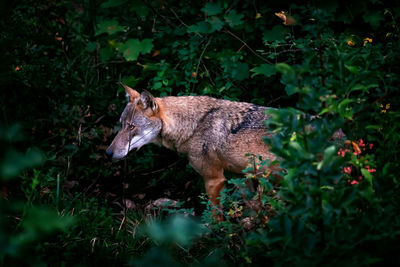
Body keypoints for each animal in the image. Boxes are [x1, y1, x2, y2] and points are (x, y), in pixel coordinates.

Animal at [106, 86, 282, 207]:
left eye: (131, 127)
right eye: (121, 124)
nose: (108, 153)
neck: (194, 126)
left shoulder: (214, 179)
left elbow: (216, 216)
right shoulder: (239, 177)